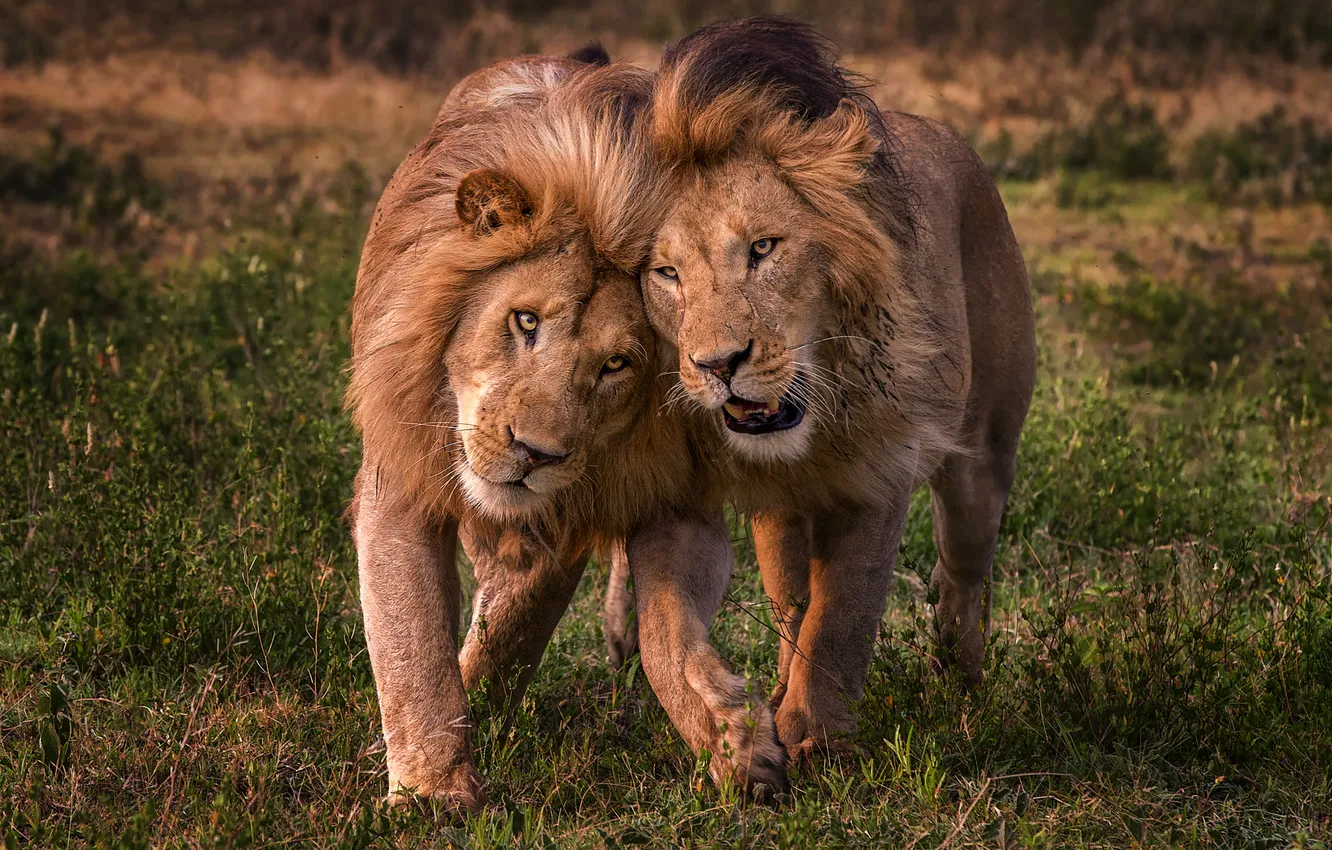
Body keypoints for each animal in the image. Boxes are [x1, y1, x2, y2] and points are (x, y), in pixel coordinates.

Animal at [346, 48, 711, 813]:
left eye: (616, 364)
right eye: (525, 321)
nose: (533, 454)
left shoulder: (570, 510)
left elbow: (514, 627)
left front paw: (474, 721)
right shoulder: (401, 472)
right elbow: (412, 640)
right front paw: (434, 796)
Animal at [618, 17, 1037, 790]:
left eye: (763, 248)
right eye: (665, 273)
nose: (717, 365)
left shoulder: (880, 469)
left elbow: (845, 609)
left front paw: (816, 738)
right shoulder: (681, 492)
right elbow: (664, 632)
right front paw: (732, 738)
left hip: (984, 459)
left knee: (964, 574)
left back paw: (961, 688)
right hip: (781, 518)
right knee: (790, 601)